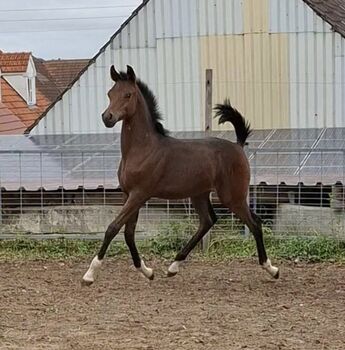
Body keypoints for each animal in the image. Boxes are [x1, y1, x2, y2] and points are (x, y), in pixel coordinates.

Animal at [82, 65, 278, 284]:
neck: (143, 149)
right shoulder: (128, 194)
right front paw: (147, 271)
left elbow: (113, 228)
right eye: (110, 93)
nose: (107, 117)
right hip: (199, 194)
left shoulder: (139, 195)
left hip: (232, 197)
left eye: (128, 94)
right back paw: (173, 266)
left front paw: (89, 274)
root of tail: (238, 145)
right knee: (208, 221)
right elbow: (129, 233)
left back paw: (271, 269)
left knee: (255, 223)